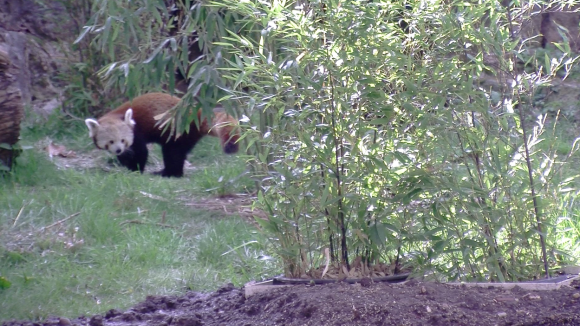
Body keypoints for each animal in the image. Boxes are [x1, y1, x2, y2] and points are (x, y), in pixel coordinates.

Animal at [84, 91, 240, 178]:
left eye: (123, 140)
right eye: (110, 142)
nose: (118, 149)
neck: (118, 114)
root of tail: (195, 114)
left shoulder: (137, 133)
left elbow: (141, 152)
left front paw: (135, 170)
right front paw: (125, 162)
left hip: (179, 132)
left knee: (173, 153)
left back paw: (169, 173)